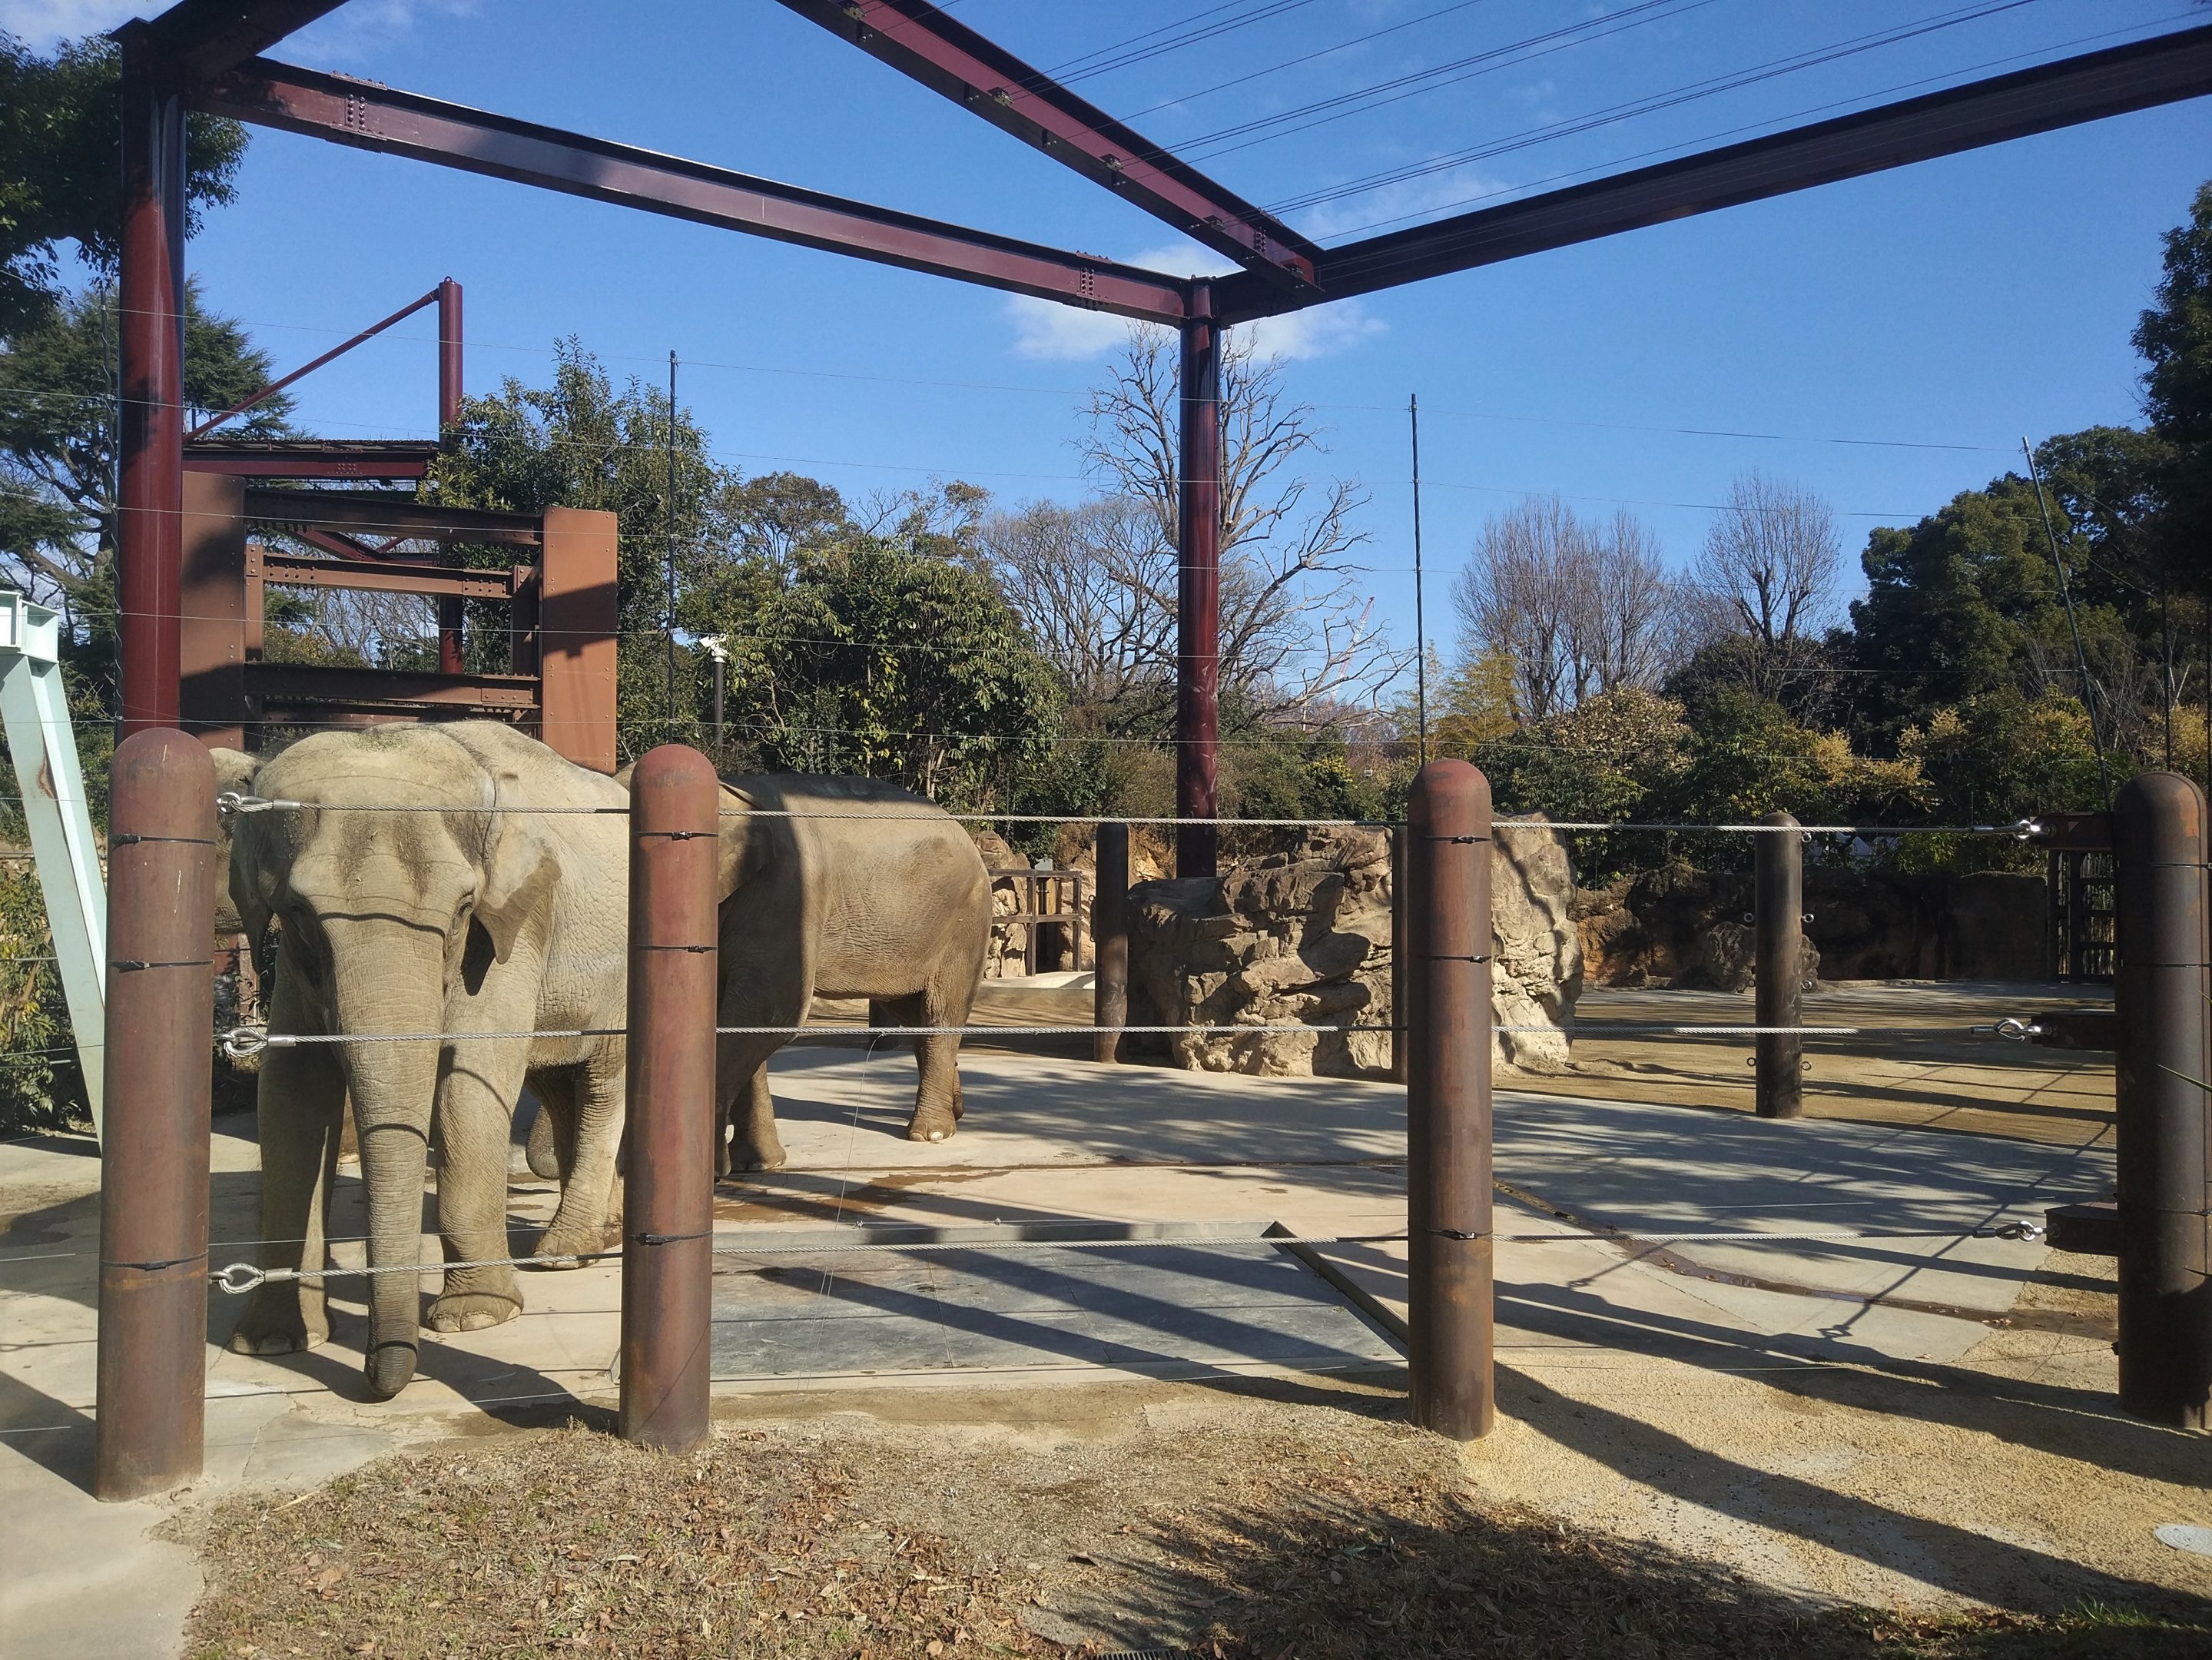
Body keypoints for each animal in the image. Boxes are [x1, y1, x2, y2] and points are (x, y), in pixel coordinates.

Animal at [224, 722, 631, 1399]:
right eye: (300, 912)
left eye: (465, 906)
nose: (376, 1380)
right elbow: (290, 1096)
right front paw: (272, 1343)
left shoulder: (514, 925)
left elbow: (471, 1078)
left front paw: (475, 1319)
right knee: (557, 1081)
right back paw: (607, 1233)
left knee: (602, 1083)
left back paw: (564, 1253)